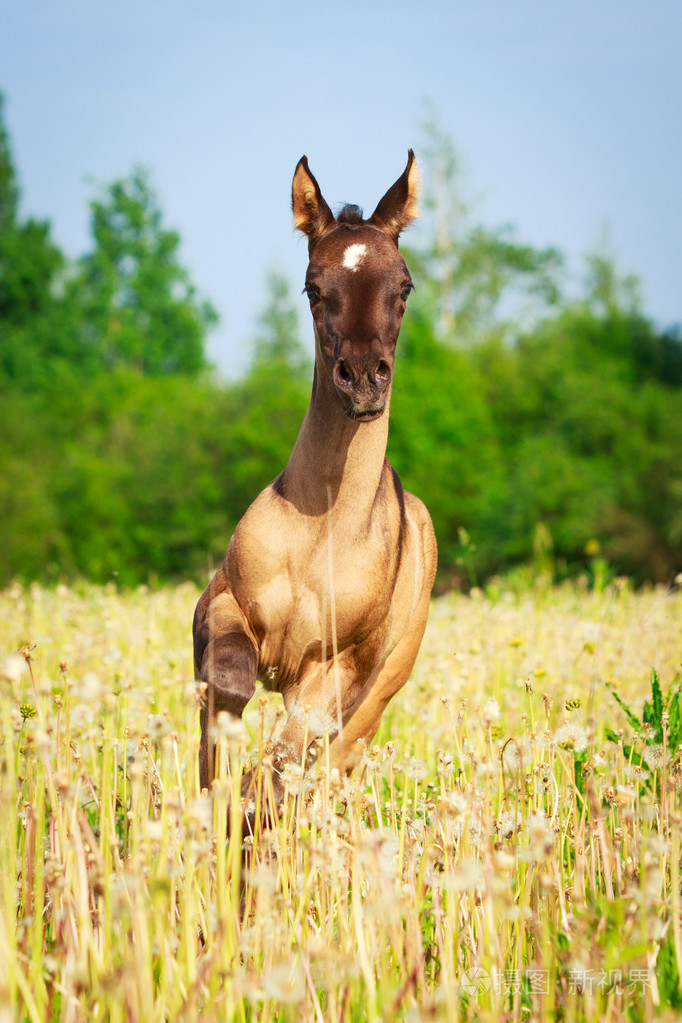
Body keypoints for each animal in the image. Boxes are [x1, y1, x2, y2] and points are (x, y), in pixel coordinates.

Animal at [192, 149, 437, 814]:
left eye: (404, 285)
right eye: (312, 287)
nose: (364, 378)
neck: (322, 530)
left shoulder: (341, 670)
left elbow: (285, 762)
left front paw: (243, 817)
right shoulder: (220, 602)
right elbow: (227, 682)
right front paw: (214, 797)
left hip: (377, 698)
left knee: (331, 766)